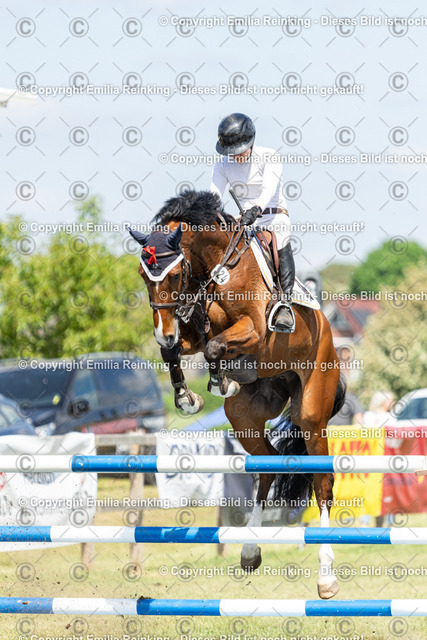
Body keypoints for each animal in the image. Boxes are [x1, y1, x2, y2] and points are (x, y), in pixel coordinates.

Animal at [129, 190, 346, 599]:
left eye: (175, 274)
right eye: (142, 275)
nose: (162, 333)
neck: (214, 268)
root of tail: (328, 329)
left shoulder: (254, 330)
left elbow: (216, 347)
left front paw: (219, 379)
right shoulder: (193, 330)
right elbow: (182, 350)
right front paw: (189, 398)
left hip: (312, 411)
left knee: (322, 484)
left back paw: (327, 577)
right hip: (244, 418)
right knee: (267, 465)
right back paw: (249, 551)